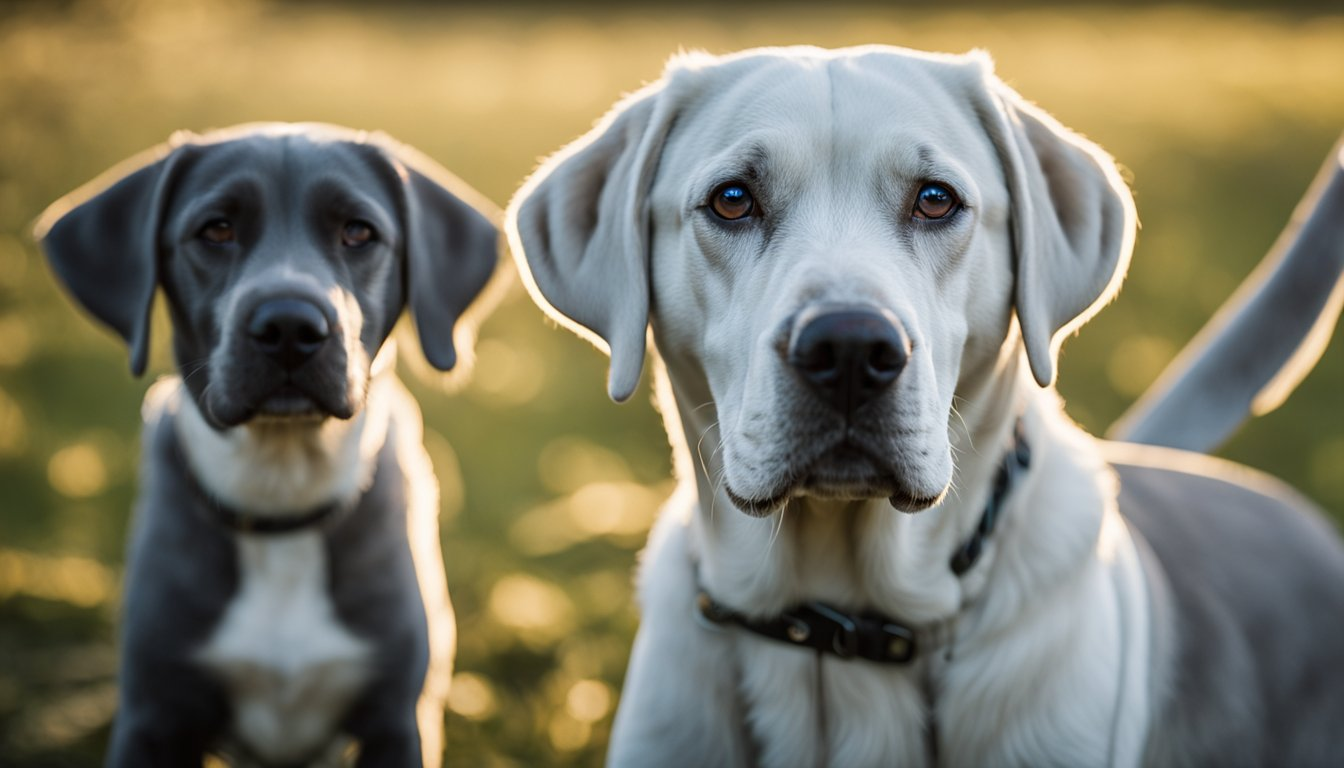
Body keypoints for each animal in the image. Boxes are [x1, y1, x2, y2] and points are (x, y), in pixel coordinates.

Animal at [38, 123, 499, 763]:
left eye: (359, 231)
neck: (282, 494)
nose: (289, 327)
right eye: (216, 229)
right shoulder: (154, 714)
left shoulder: (397, 719)